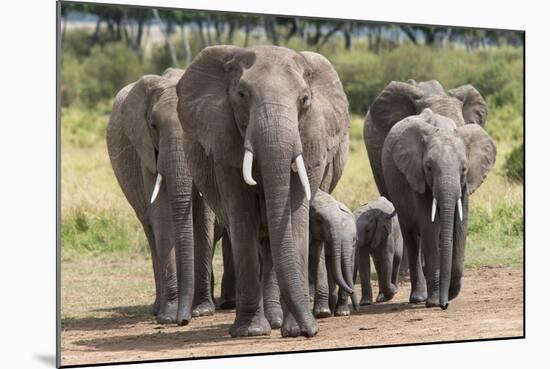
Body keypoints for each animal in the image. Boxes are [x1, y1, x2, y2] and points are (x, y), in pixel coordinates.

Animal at [106, 68, 234, 322]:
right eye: (154, 125)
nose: (182, 321)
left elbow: (203, 218)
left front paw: (202, 311)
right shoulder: (146, 150)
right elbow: (162, 216)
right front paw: (168, 316)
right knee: (150, 231)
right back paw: (158, 308)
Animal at [177, 45, 354, 336]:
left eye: (304, 99)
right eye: (241, 95)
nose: (312, 332)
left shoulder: (310, 139)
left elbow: (295, 218)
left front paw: (294, 331)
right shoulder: (224, 145)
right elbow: (242, 215)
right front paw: (251, 331)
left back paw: (277, 322)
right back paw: (269, 323)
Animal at [364, 80, 498, 308]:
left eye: (464, 168)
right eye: (428, 167)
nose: (445, 302)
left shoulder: (465, 183)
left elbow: (460, 224)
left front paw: (449, 293)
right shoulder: (415, 175)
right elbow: (429, 224)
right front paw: (435, 300)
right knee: (411, 234)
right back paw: (418, 296)